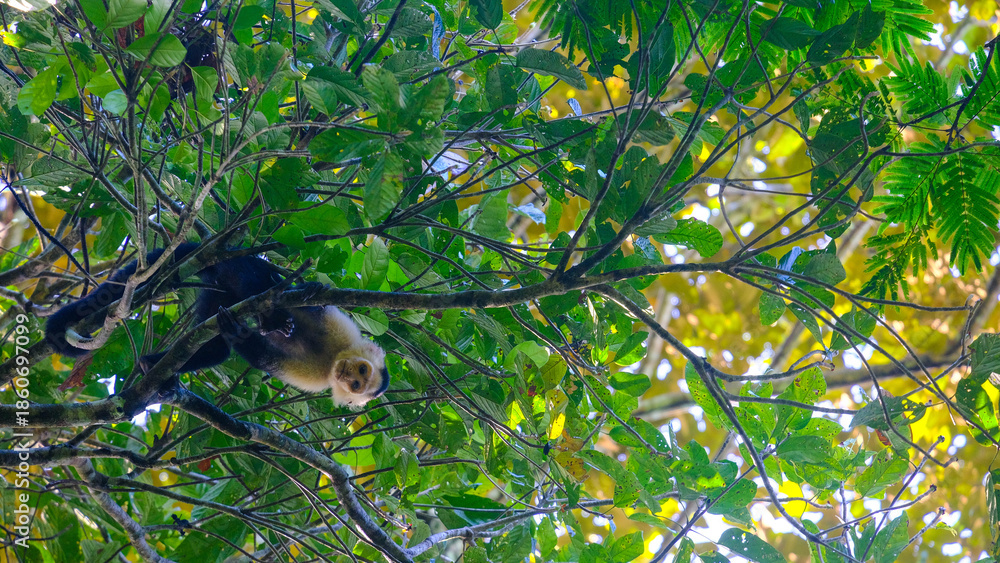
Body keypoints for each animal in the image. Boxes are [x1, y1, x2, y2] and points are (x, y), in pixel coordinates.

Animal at [44, 242, 389, 409]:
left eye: (357, 385)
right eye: (361, 372)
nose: (348, 376)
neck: (332, 358)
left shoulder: (319, 379)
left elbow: (265, 358)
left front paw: (239, 333)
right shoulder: (339, 330)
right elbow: (311, 299)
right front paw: (307, 292)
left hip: (217, 293)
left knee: (214, 347)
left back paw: (152, 365)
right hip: (237, 268)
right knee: (261, 282)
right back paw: (271, 317)